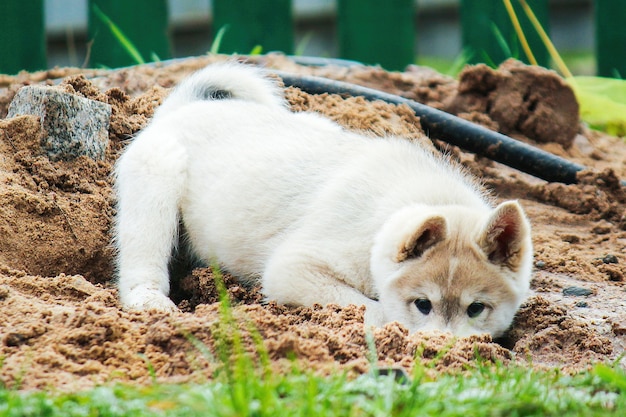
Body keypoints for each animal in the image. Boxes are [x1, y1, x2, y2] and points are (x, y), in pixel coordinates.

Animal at [113, 61, 532, 336]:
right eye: (422, 304)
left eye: (476, 308)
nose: (441, 351)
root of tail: (184, 107)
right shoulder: (292, 269)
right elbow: (373, 309)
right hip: (156, 185)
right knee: (142, 258)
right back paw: (149, 301)